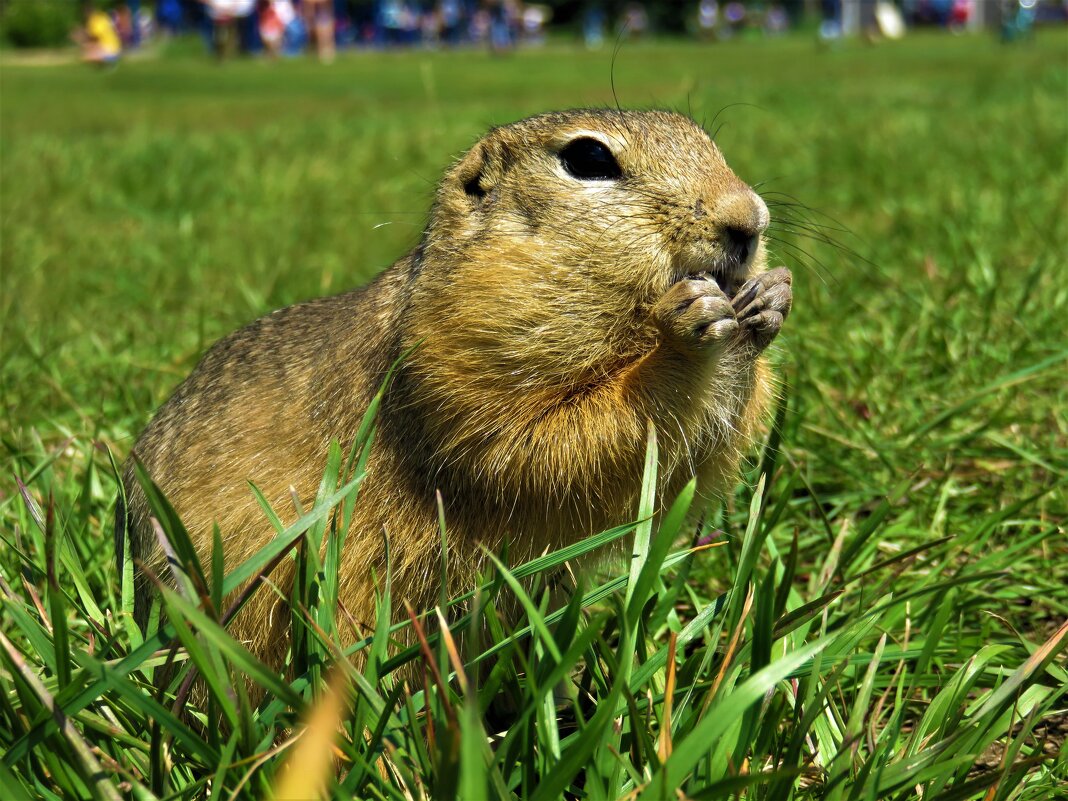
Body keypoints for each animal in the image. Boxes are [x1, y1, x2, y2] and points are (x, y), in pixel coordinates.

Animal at [119, 110, 794, 666]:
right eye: (588, 159)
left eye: (705, 137)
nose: (749, 218)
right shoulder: (453, 358)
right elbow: (539, 445)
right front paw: (689, 329)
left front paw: (770, 297)